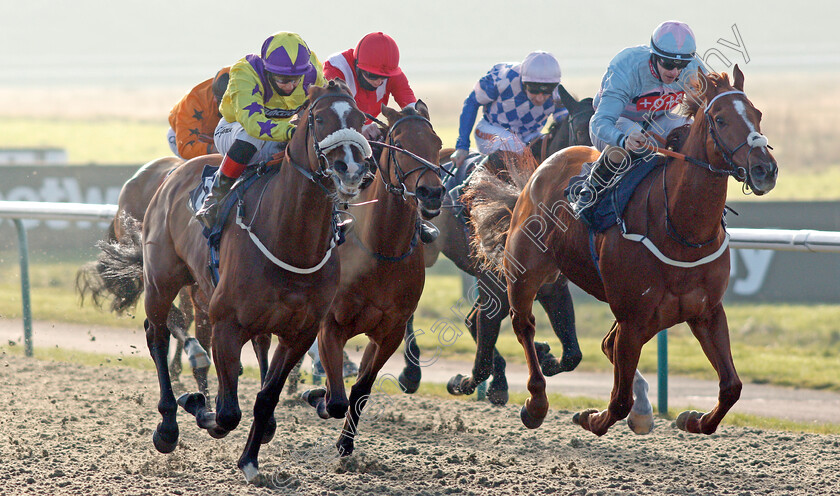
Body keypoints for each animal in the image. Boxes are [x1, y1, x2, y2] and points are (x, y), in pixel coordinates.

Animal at [302, 101, 446, 458]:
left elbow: (360, 390)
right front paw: (318, 397)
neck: (381, 251)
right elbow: (336, 397)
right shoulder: (331, 326)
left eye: (436, 143)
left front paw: (346, 443)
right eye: (401, 145)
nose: (432, 192)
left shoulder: (389, 332)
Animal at [398, 85, 592, 404]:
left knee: (470, 321)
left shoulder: (553, 286)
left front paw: (544, 356)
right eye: (578, 130)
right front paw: (462, 381)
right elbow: (482, 354)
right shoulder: (494, 285)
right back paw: (411, 373)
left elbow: (572, 355)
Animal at [470, 66, 776, 434]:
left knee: (602, 343)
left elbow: (731, 387)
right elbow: (617, 400)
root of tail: (540, 169)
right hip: (526, 271)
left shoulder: (706, 312)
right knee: (523, 324)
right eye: (720, 119)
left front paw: (692, 419)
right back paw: (536, 403)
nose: (765, 169)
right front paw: (590, 417)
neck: (681, 231)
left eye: (757, 114)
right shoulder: (633, 318)